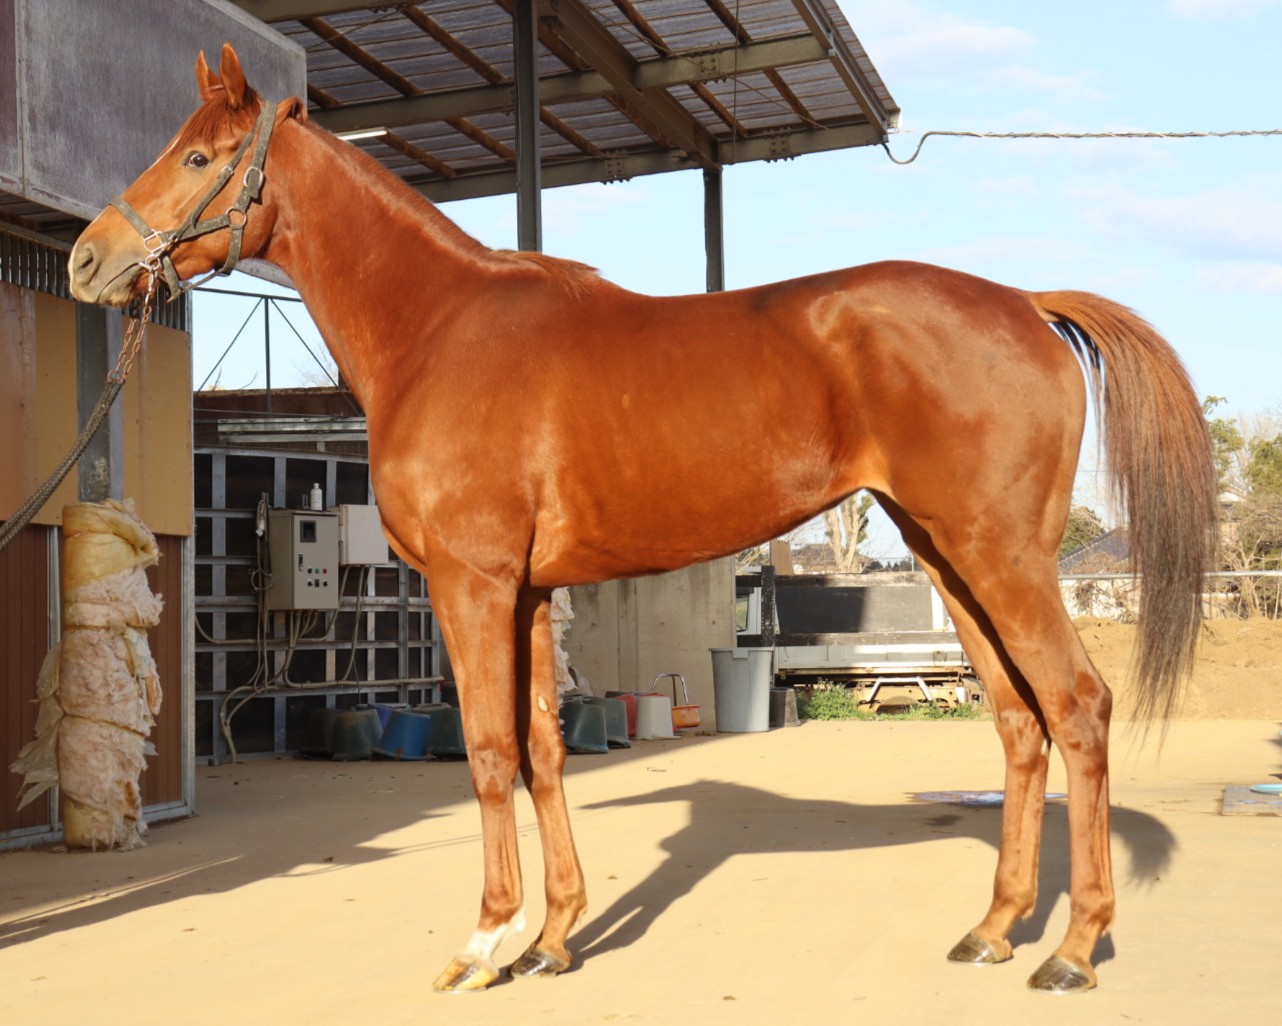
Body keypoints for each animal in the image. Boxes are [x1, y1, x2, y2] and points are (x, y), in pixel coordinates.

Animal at [68, 44, 1218, 995]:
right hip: (948, 558)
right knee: (1021, 723)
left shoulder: (472, 583)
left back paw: (1073, 951)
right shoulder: (528, 592)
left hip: (1000, 556)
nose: (88, 261)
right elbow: (542, 747)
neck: (440, 331)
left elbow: (488, 749)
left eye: (199, 155)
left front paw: (483, 944)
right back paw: (993, 930)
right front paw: (552, 940)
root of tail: (1026, 303)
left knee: (1078, 708)